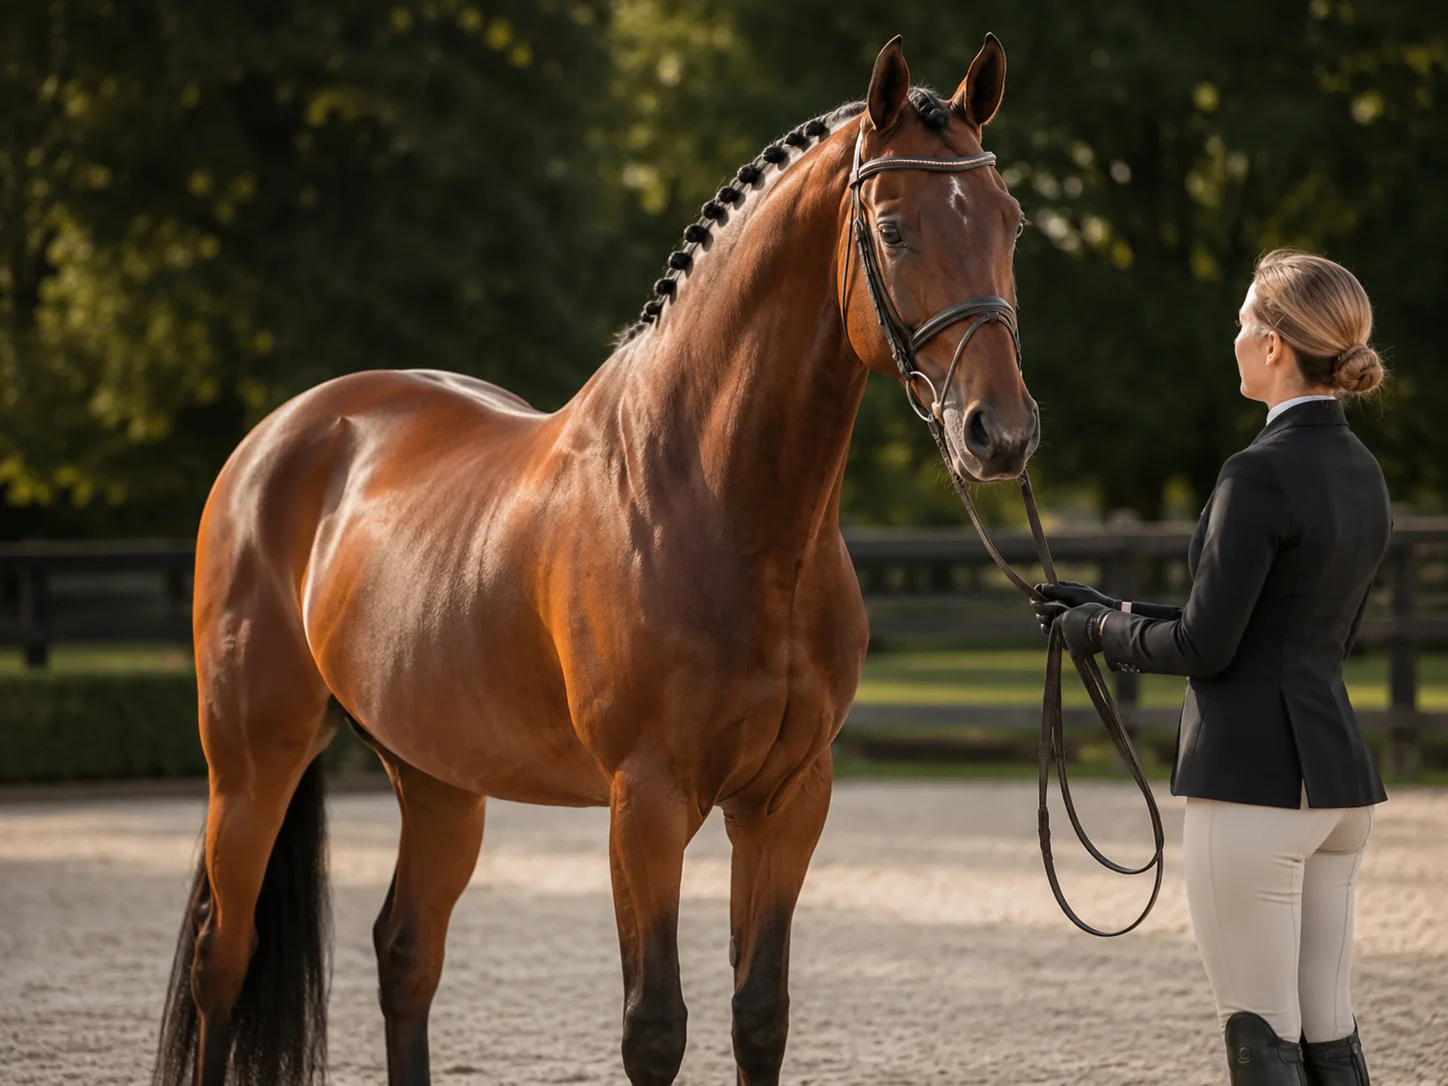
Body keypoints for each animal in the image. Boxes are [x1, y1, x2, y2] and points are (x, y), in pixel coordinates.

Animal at [153, 33, 1037, 1086]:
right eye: (894, 230)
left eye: (1012, 223)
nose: (999, 433)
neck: (719, 503)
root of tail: (279, 437)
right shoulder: (645, 804)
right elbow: (654, 1027)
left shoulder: (788, 800)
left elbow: (760, 1016)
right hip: (252, 765)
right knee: (225, 961)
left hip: (438, 779)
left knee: (405, 955)